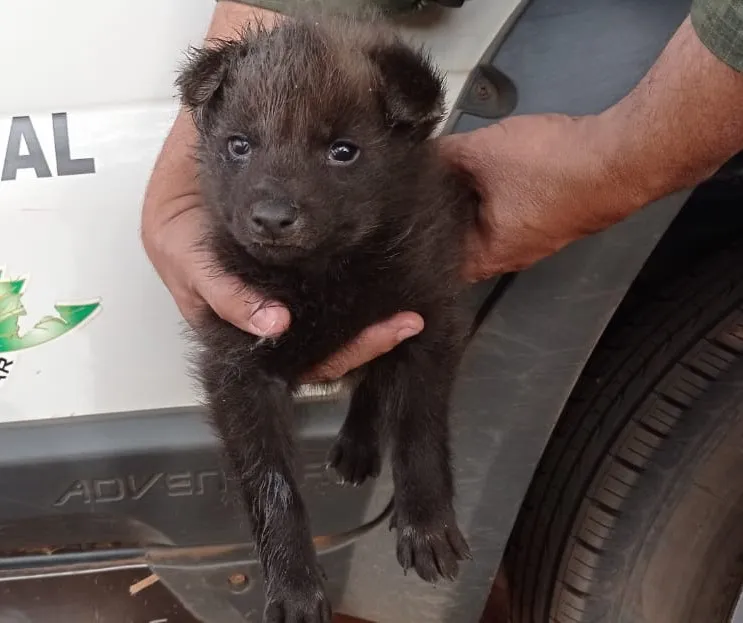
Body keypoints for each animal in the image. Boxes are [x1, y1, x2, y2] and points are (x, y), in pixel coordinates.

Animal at [180, 11, 476, 623]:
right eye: (239, 145)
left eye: (343, 151)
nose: (272, 218)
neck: (319, 278)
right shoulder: (239, 366)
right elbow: (273, 485)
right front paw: (294, 585)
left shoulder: (427, 321)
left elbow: (418, 428)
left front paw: (426, 522)